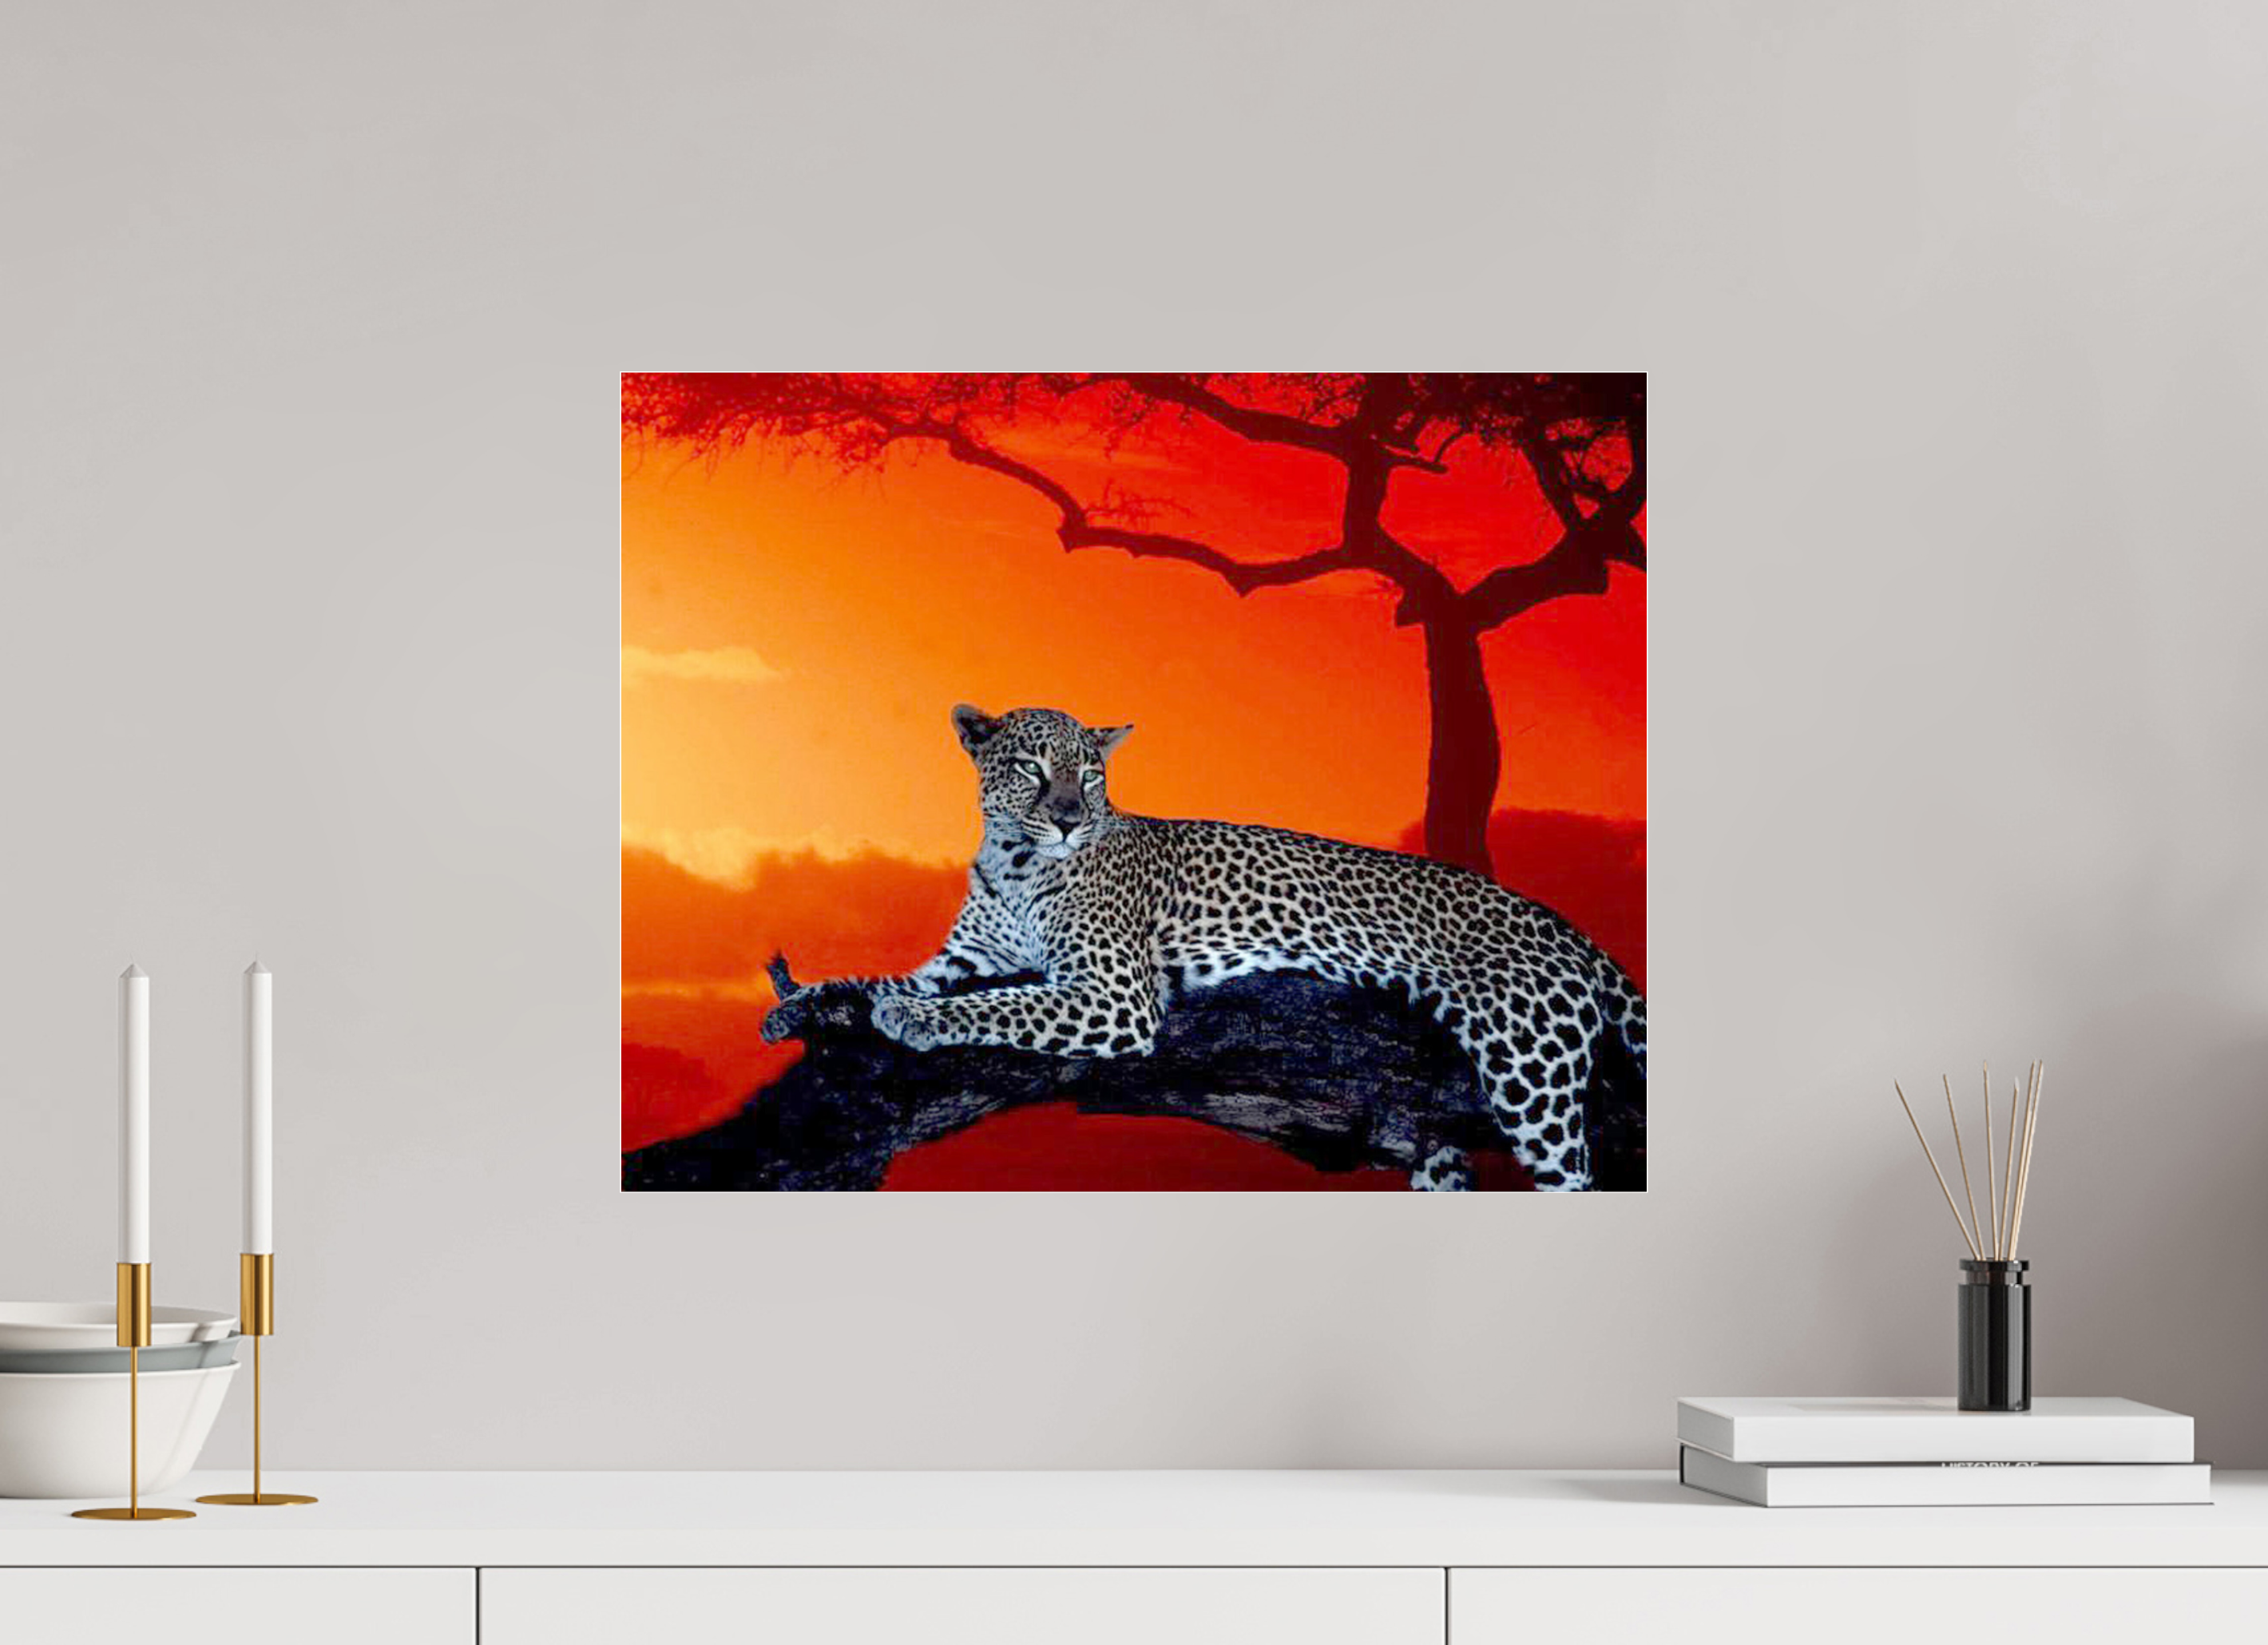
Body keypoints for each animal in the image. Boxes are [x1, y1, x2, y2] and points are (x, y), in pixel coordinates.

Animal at [761, 705, 1647, 1190]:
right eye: (1030, 769)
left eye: (1088, 775)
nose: (1069, 818)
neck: (1013, 859)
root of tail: (1564, 925)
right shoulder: (961, 959)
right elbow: (875, 976)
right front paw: (807, 1003)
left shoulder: (1112, 993)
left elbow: (1005, 1003)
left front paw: (914, 1020)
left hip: (1528, 1065)